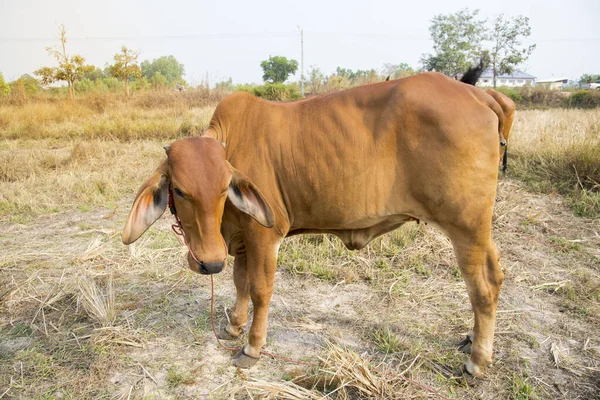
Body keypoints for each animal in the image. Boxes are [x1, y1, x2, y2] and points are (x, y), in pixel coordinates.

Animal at [124, 72, 512, 378]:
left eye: (223, 188)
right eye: (178, 189)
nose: (209, 262)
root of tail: (479, 94)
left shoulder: (264, 234)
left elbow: (260, 289)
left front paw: (252, 347)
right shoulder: (243, 237)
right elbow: (240, 282)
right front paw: (234, 326)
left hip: (465, 225)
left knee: (483, 286)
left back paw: (477, 362)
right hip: (478, 229)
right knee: (495, 275)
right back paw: (471, 341)